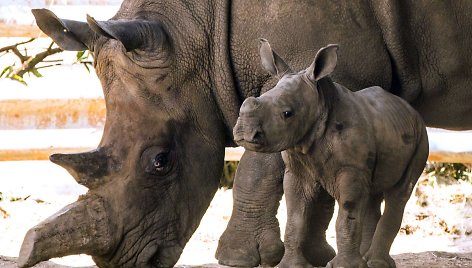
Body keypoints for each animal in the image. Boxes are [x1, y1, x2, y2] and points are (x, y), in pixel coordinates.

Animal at [234, 39, 430, 268]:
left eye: (287, 114)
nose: (244, 132)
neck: (320, 105)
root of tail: (410, 110)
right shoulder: (297, 169)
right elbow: (295, 217)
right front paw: (290, 265)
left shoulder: (351, 168)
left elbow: (347, 213)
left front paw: (345, 266)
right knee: (371, 195)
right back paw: (366, 260)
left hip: (421, 137)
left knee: (398, 193)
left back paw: (375, 263)